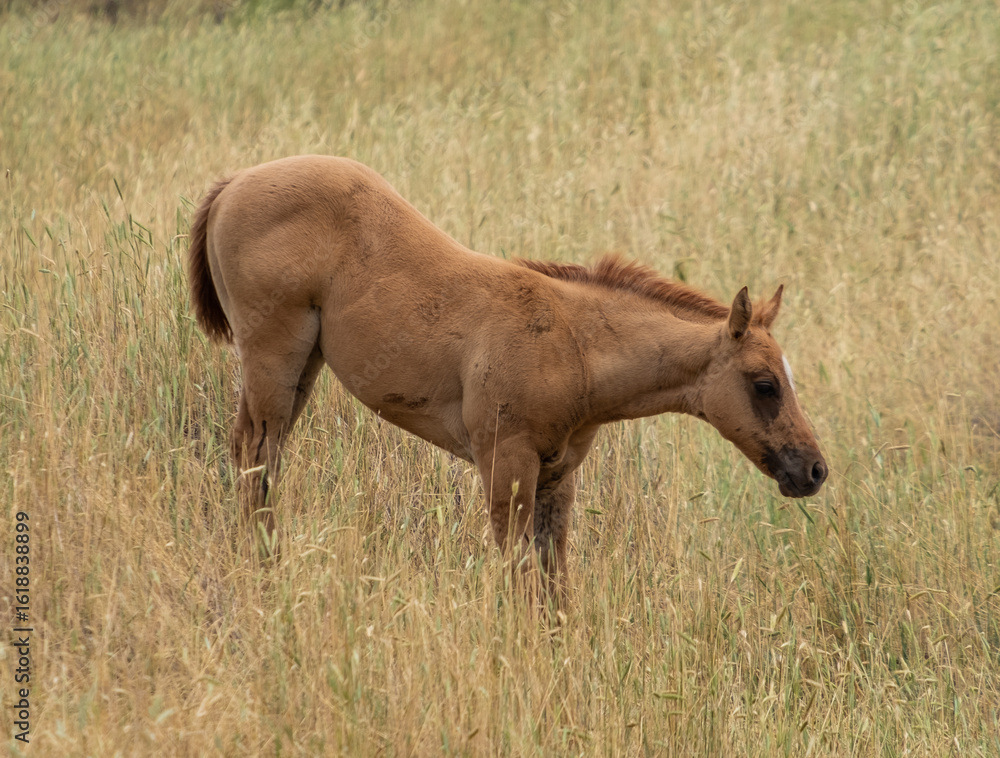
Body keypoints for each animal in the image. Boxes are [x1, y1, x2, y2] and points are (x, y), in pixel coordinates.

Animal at [188, 155, 827, 602]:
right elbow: (517, 577)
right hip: (273, 358)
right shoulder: (506, 467)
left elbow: (553, 585)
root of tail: (234, 182)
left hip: (304, 370)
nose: (815, 470)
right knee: (255, 457)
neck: (574, 346)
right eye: (765, 384)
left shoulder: (557, 479)